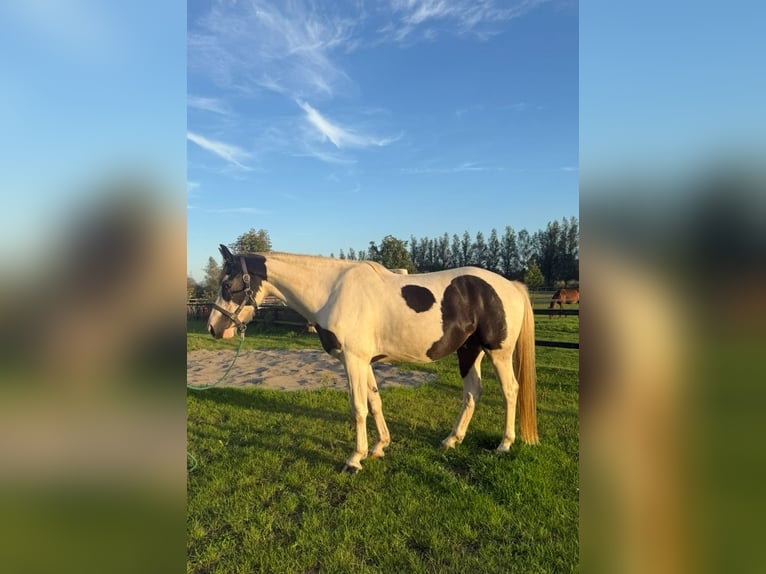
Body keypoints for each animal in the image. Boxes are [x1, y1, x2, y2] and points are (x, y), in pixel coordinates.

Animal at [207, 245, 538, 472]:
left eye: (227, 284)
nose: (214, 328)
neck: (332, 292)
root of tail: (510, 286)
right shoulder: (363, 361)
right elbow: (375, 401)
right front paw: (380, 447)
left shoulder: (353, 360)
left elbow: (358, 408)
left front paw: (355, 459)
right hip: (469, 351)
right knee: (472, 392)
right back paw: (452, 440)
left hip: (498, 352)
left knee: (510, 391)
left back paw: (504, 444)